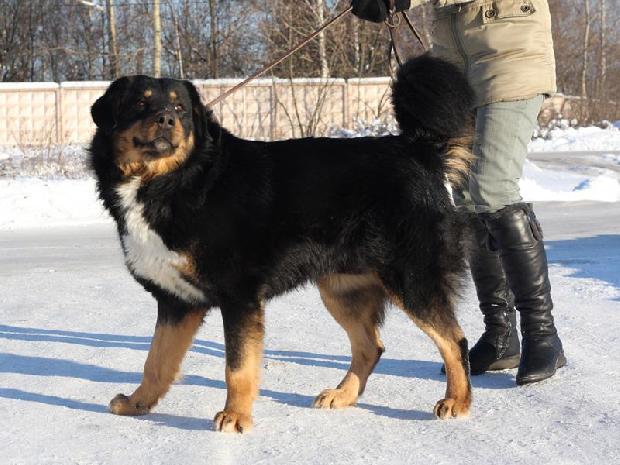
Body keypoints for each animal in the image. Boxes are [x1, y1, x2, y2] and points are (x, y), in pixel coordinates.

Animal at [89, 53, 475, 433]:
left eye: (180, 108)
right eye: (140, 103)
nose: (167, 119)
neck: (179, 181)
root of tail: (419, 150)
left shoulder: (239, 297)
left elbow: (237, 367)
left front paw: (236, 416)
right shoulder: (177, 301)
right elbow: (156, 361)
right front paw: (137, 404)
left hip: (412, 279)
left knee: (454, 340)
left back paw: (457, 400)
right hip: (341, 289)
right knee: (371, 347)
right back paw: (343, 395)